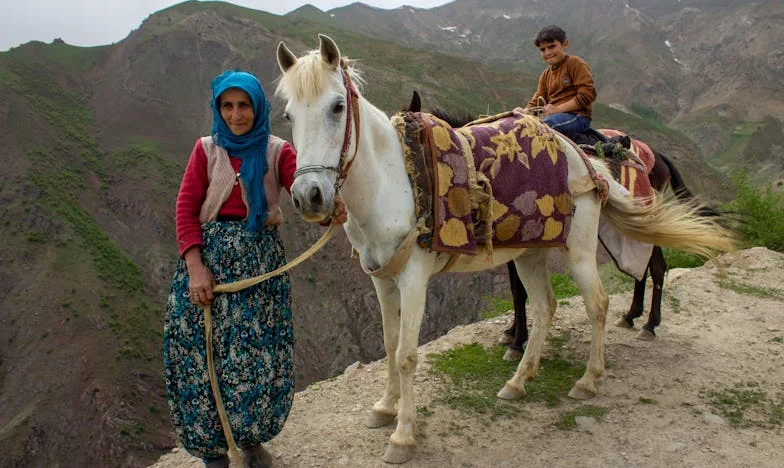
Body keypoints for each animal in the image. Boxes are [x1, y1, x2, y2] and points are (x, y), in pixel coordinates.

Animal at [404, 88, 716, 358]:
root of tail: (657, 155)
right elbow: (517, 290)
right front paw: (512, 333)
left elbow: (521, 291)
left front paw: (517, 342)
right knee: (643, 265)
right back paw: (631, 316)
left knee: (657, 266)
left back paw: (649, 325)